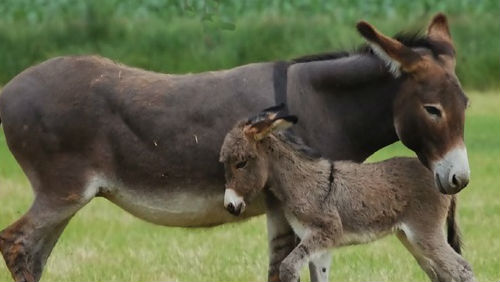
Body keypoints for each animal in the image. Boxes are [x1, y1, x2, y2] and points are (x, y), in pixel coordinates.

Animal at [220, 106, 476, 282]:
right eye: (225, 163)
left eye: (241, 163)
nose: (230, 206)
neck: (301, 182)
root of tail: (440, 179)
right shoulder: (318, 244)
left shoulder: (326, 232)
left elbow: (288, 268)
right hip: (410, 238)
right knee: (442, 274)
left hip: (426, 234)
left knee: (463, 270)